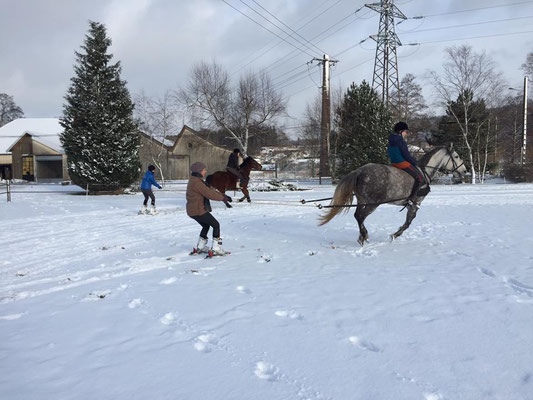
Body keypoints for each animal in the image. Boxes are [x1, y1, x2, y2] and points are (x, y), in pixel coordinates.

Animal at [319, 145, 467, 245]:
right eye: (456, 156)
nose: (465, 171)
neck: (424, 172)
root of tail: (360, 171)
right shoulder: (416, 203)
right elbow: (408, 222)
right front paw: (395, 235)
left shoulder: (410, 205)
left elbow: (408, 221)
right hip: (373, 203)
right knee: (360, 216)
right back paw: (364, 235)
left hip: (362, 201)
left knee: (358, 216)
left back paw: (362, 236)